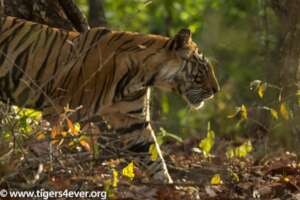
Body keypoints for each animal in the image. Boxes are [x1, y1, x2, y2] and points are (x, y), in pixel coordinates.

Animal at [0, 15, 220, 183]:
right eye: (203, 68)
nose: (216, 90)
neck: (143, 77)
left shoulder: (132, 121)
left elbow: (154, 157)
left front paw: (168, 186)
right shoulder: (58, 108)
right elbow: (46, 144)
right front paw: (35, 174)